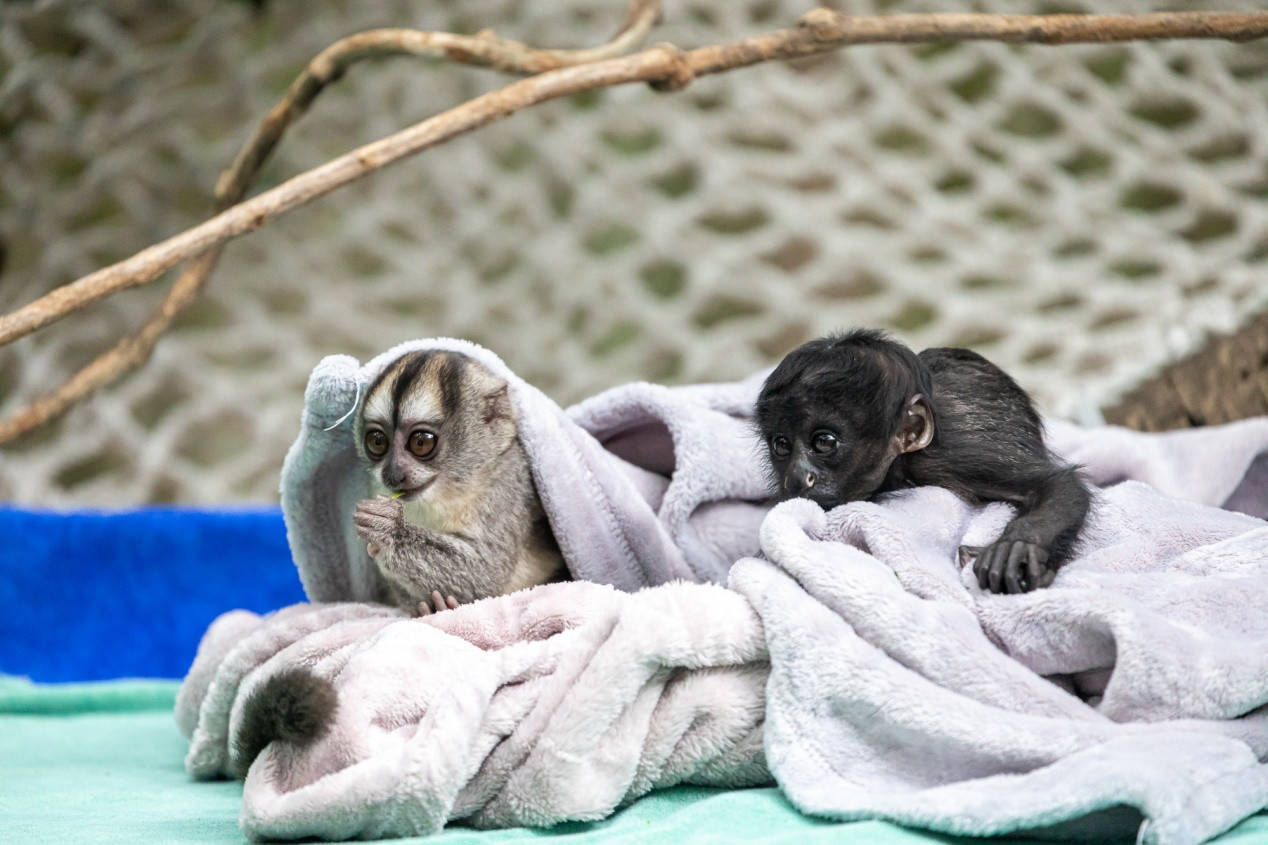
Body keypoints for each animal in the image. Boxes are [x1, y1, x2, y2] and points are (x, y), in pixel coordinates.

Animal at [351, 350, 565, 615]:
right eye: (377, 441)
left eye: (421, 442)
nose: (393, 474)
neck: (450, 493)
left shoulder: (507, 486)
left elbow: (486, 572)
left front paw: (387, 528)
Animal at [755, 329, 1091, 594]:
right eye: (781, 445)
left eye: (824, 442)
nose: (797, 476)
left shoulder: (956, 453)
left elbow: (1056, 484)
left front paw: (1017, 547)